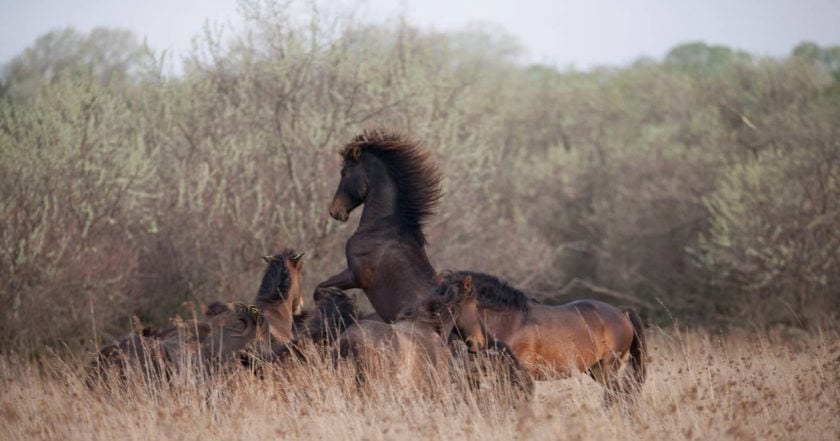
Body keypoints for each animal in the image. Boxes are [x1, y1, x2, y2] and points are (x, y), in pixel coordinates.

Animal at [436, 268, 648, 402]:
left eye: (455, 302)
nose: (476, 343)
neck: (511, 322)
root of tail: (621, 312)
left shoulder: (519, 377)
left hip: (607, 368)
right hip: (594, 369)